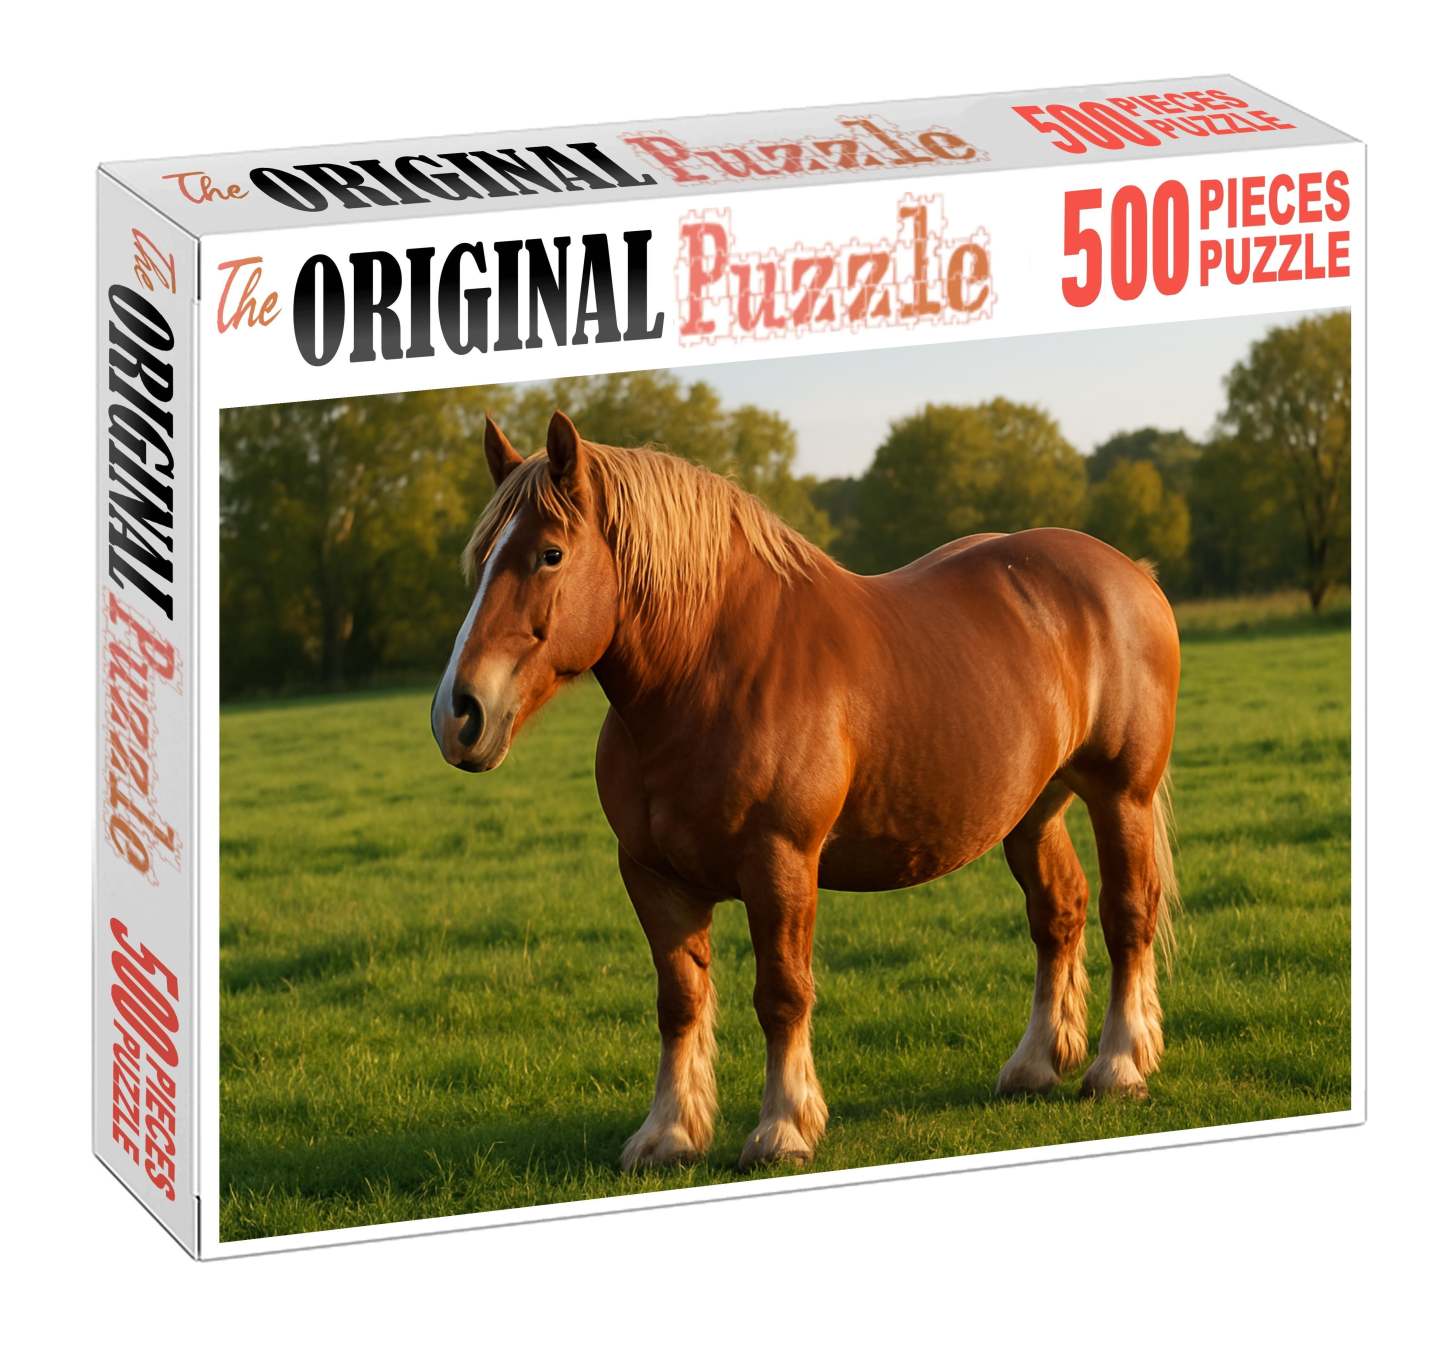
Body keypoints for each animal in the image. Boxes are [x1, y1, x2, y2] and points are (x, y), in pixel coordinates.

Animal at [432, 410, 1181, 1170]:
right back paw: (1034, 1066)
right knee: (1058, 914)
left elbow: (782, 995)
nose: (459, 713)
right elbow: (678, 1001)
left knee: (1127, 915)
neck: (710, 674)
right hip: (1033, 812)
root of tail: (1130, 573)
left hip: (1120, 796)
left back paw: (1118, 1066)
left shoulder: (780, 864)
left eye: (549, 554)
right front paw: (669, 1134)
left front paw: (782, 1129)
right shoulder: (652, 877)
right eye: (483, 556)